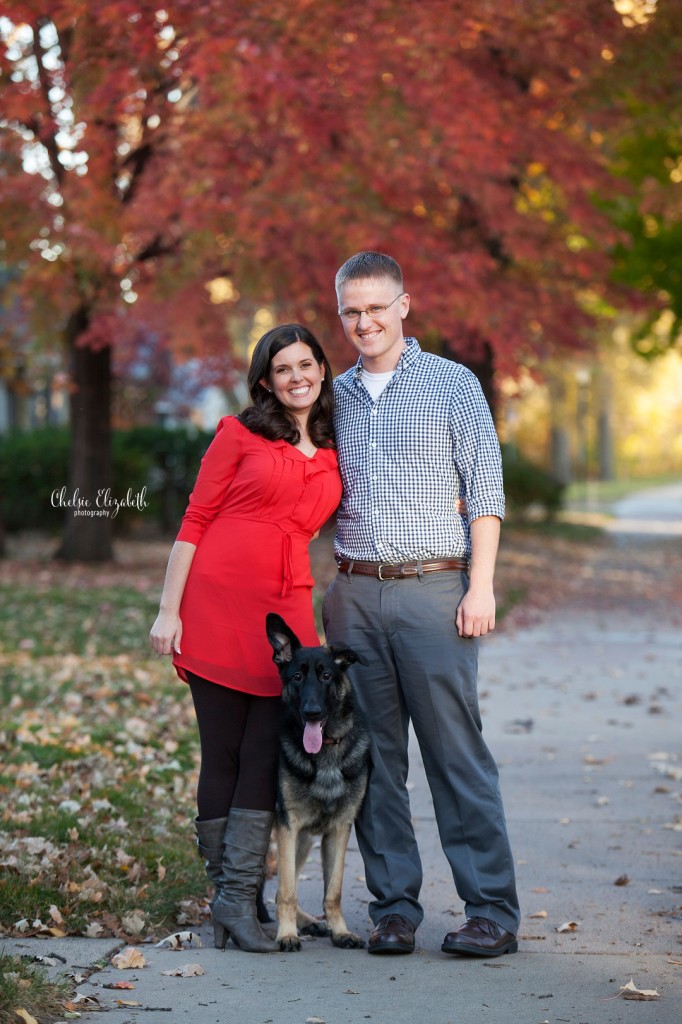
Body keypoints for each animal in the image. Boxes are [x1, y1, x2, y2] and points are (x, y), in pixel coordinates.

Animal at [266, 606, 368, 950]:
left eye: (326, 676)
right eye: (297, 677)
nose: (311, 712)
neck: (325, 752)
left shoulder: (339, 829)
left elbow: (333, 892)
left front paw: (340, 931)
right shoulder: (288, 827)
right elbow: (286, 891)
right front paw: (285, 934)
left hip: (305, 842)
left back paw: (310, 923)